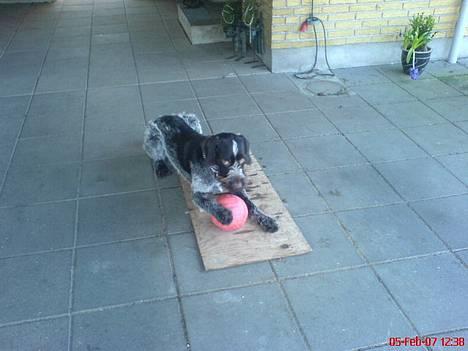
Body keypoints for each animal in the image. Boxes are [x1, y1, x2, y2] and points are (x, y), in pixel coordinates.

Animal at [144, 113, 278, 234]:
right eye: (225, 161)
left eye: (242, 161)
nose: (239, 184)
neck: (214, 172)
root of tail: (164, 116)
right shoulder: (198, 194)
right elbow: (208, 203)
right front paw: (223, 214)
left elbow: (251, 204)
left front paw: (266, 219)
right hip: (153, 139)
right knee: (157, 155)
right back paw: (160, 165)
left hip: (193, 120)